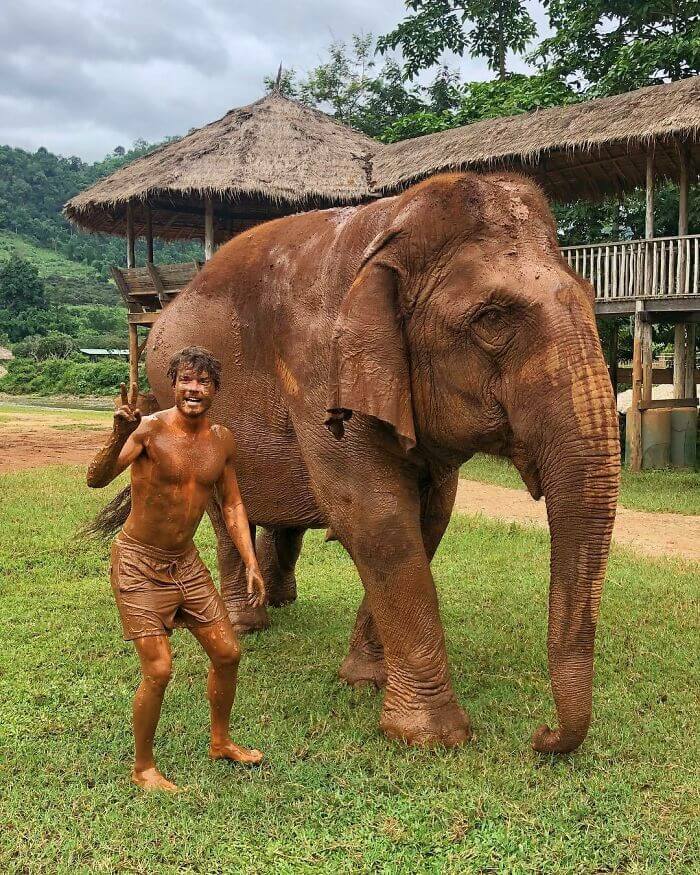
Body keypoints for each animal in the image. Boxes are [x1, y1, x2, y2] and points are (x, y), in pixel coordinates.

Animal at [145, 173, 620, 752]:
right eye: (492, 320)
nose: (541, 734)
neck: (394, 226)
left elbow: (427, 518)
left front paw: (366, 681)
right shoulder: (320, 371)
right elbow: (376, 517)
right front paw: (431, 738)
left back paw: (278, 603)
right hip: (177, 397)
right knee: (222, 511)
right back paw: (246, 624)